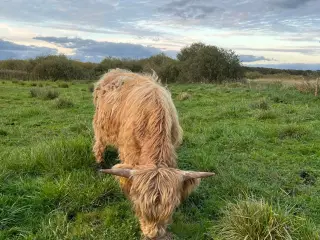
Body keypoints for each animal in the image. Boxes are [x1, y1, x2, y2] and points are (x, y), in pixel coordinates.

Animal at [91, 68, 214, 239]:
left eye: (170, 212)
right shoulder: (129, 153)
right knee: (99, 143)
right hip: (101, 125)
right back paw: (99, 162)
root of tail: (114, 71)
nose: (152, 235)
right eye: (139, 209)